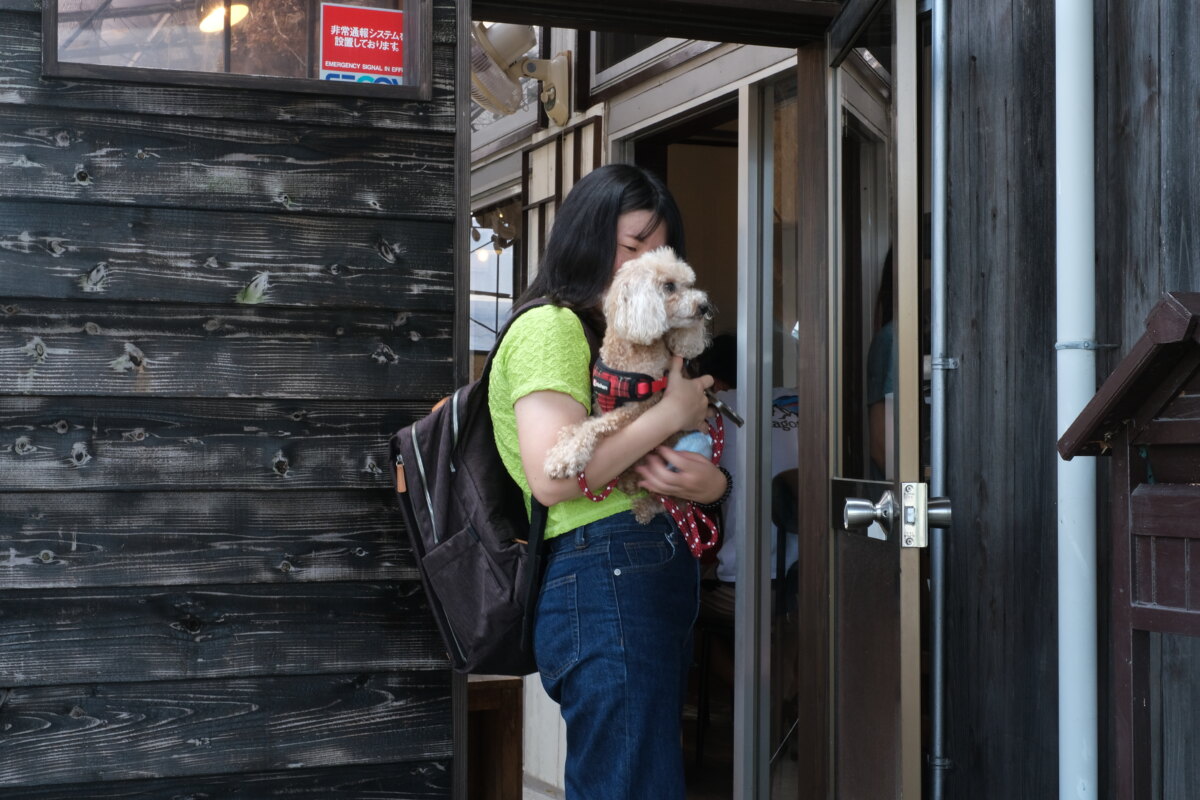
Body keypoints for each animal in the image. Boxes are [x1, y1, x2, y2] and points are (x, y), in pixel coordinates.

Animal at [544, 246, 712, 523]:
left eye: (690, 284)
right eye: (669, 286)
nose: (704, 306)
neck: (631, 354)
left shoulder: (639, 407)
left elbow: (595, 427)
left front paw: (568, 457)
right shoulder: (600, 404)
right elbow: (580, 424)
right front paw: (561, 448)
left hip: (693, 449)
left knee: (677, 501)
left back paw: (645, 507)